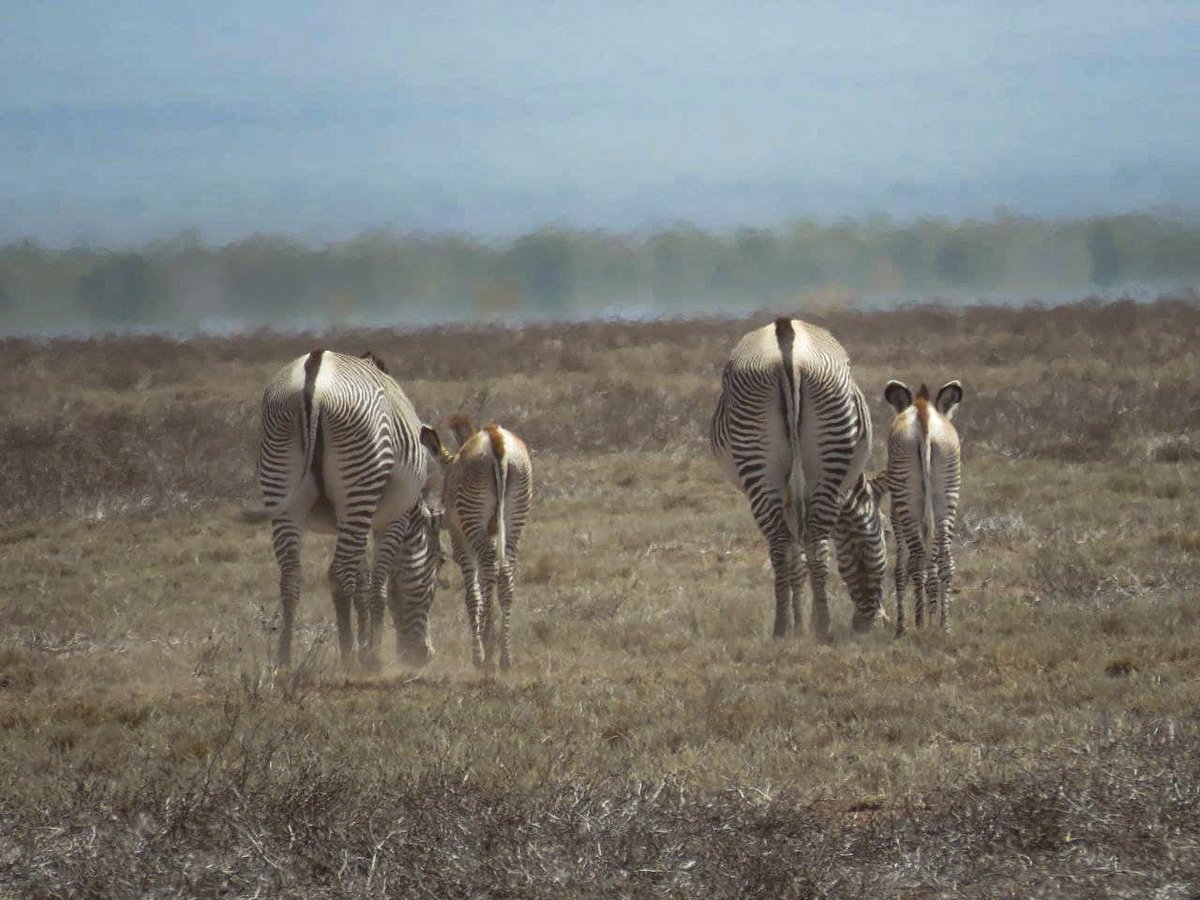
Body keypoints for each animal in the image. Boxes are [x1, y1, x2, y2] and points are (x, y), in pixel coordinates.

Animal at [258, 349, 440, 669]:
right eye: (440, 563)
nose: (423, 656)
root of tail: (313, 376)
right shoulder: (393, 518)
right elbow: (378, 587)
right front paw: (372, 654)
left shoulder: (357, 520)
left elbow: (362, 584)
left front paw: (364, 645)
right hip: (358, 484)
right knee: (340, 574)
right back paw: (347, 659)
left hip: (283, 485)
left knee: (291, 575)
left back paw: (285, 660)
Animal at [420, 415, 532, 670]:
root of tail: (496, 438)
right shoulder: (490, 533)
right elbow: (485, 583)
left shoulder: (460, 541)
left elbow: (473, 595)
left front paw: (478, 652)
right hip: (515, 513)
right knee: (505, 574)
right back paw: (505, 656)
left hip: (471, 515)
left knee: (490, 569)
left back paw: (488, 654)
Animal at [711, 317, 886, 640]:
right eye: (886, 532)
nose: (872, 625)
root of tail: (785, 339)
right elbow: (803, 555)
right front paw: (802, 621)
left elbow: (796, 558)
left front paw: (798, 622)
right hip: (822, 468)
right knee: (815, 543)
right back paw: (821, 625)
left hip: (760, 465)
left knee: (782, 545)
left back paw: (783, 627)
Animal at [882, 380, 963, 635]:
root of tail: (924, 414)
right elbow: (933, 563)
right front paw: (933, 614)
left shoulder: (896, 513)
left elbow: (900, 567)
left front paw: (902, 623)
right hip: (947, 493)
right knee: (946, 559)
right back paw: (943, 625)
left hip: (906, 500)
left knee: (916, 557)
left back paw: (916, 624)